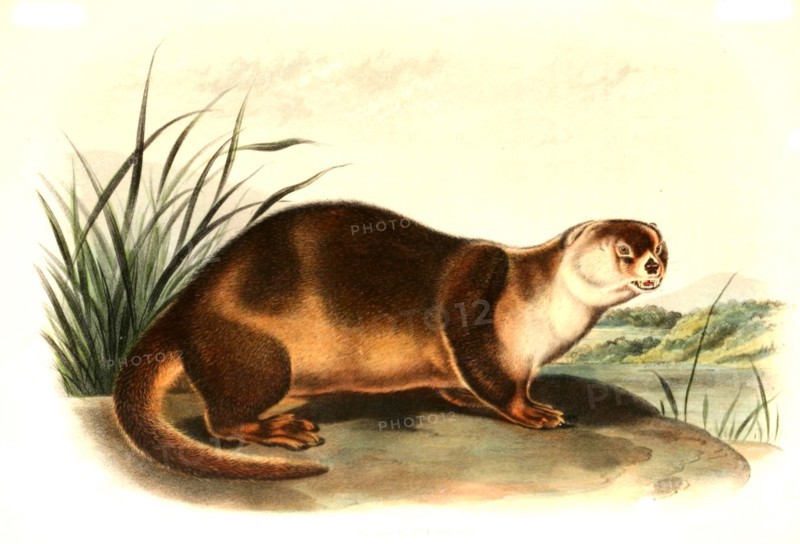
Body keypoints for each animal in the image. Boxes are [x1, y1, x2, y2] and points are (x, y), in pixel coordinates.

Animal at [113, 201, 667, 479]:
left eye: (661, 247)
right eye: (624, 250)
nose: (653, 267)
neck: (541, 306)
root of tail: (187, 304)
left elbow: (463, 383)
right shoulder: (475, 292)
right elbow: (492, 376)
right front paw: (533, 411)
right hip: (256, 355)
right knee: (223, 420)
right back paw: (280, 428)